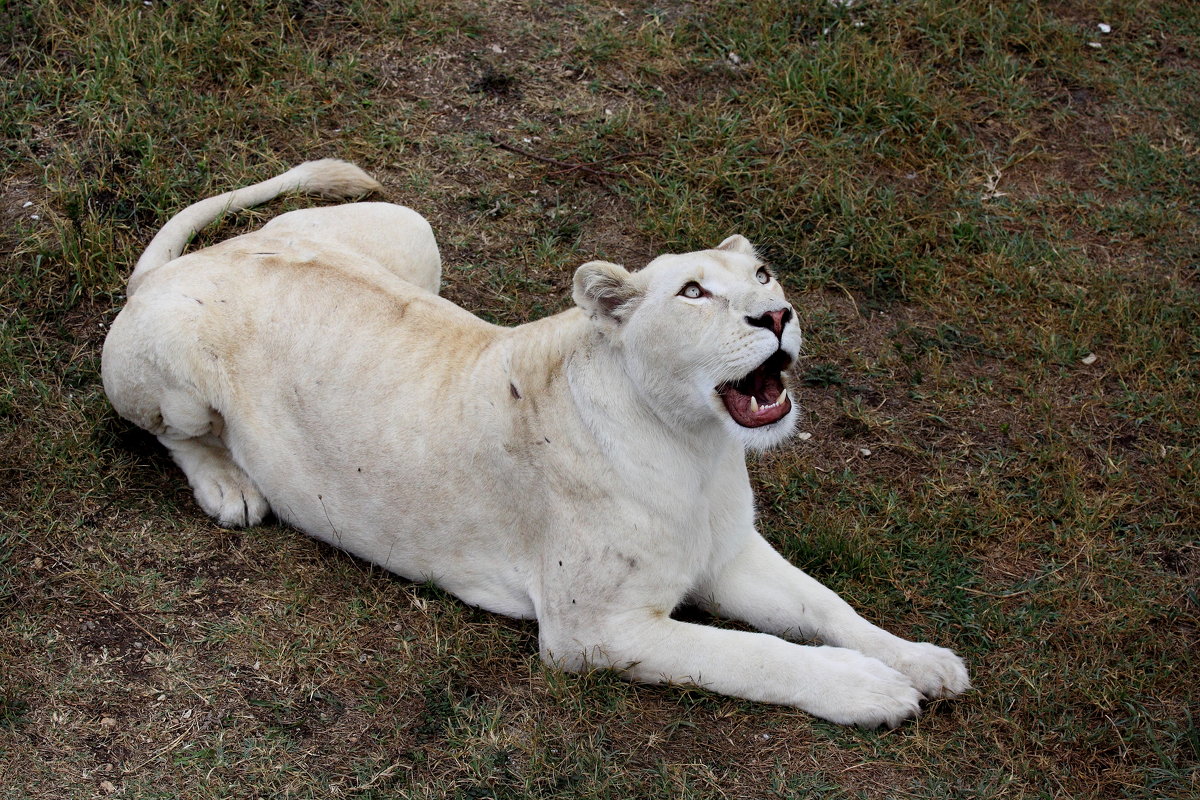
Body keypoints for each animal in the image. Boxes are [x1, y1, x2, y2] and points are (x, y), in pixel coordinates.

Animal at [100, 160, 964, 724]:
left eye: (763, 275)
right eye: (693, 292)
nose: (776, 316)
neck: (698, 450)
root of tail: (187, 262)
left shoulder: (730, 557)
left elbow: (825, 604)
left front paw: (920, 659)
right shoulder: (591, 631)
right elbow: (755, 657)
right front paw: (869, 692)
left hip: (413, 233)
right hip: (172, 363)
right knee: (170, 435)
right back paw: (230, 488)